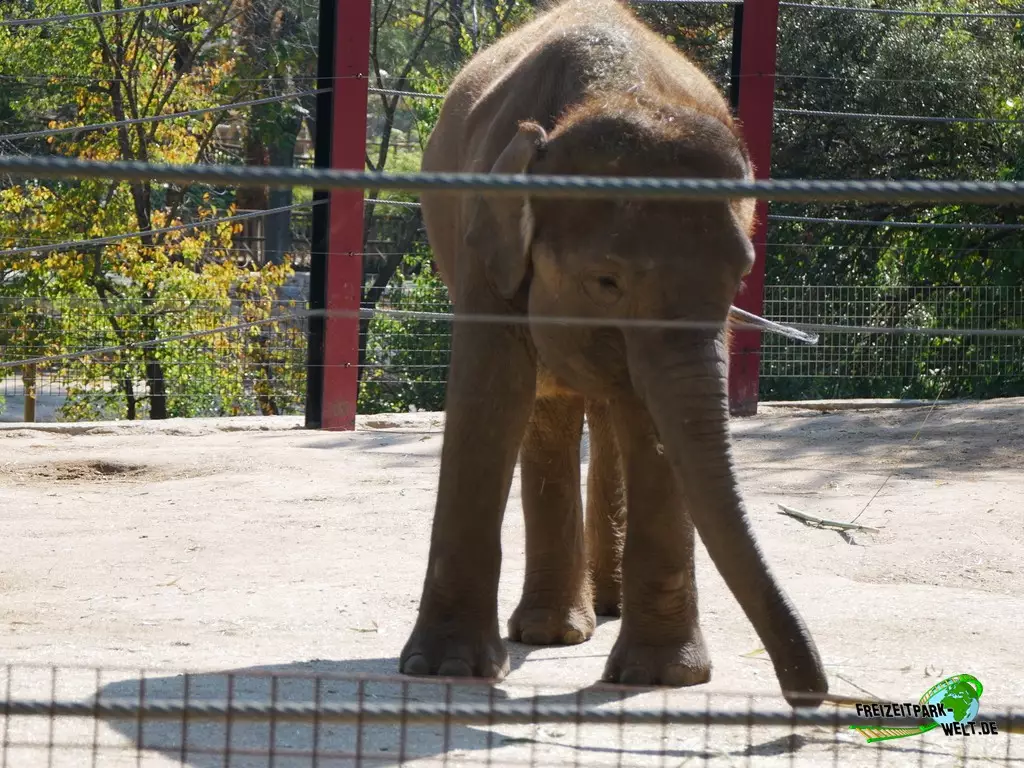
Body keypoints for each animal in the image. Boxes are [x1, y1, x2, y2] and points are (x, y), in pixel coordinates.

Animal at [398, 0, 829, 708]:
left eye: (741, 276)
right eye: (606, 281)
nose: (807, 695)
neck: (609, 92)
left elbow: (656, 428)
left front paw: (662, 678)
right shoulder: (482, 243)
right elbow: (491, 397)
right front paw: (444, 670)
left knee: (609, 414)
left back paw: (600, 612)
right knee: (549, 410)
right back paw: (554, 631)